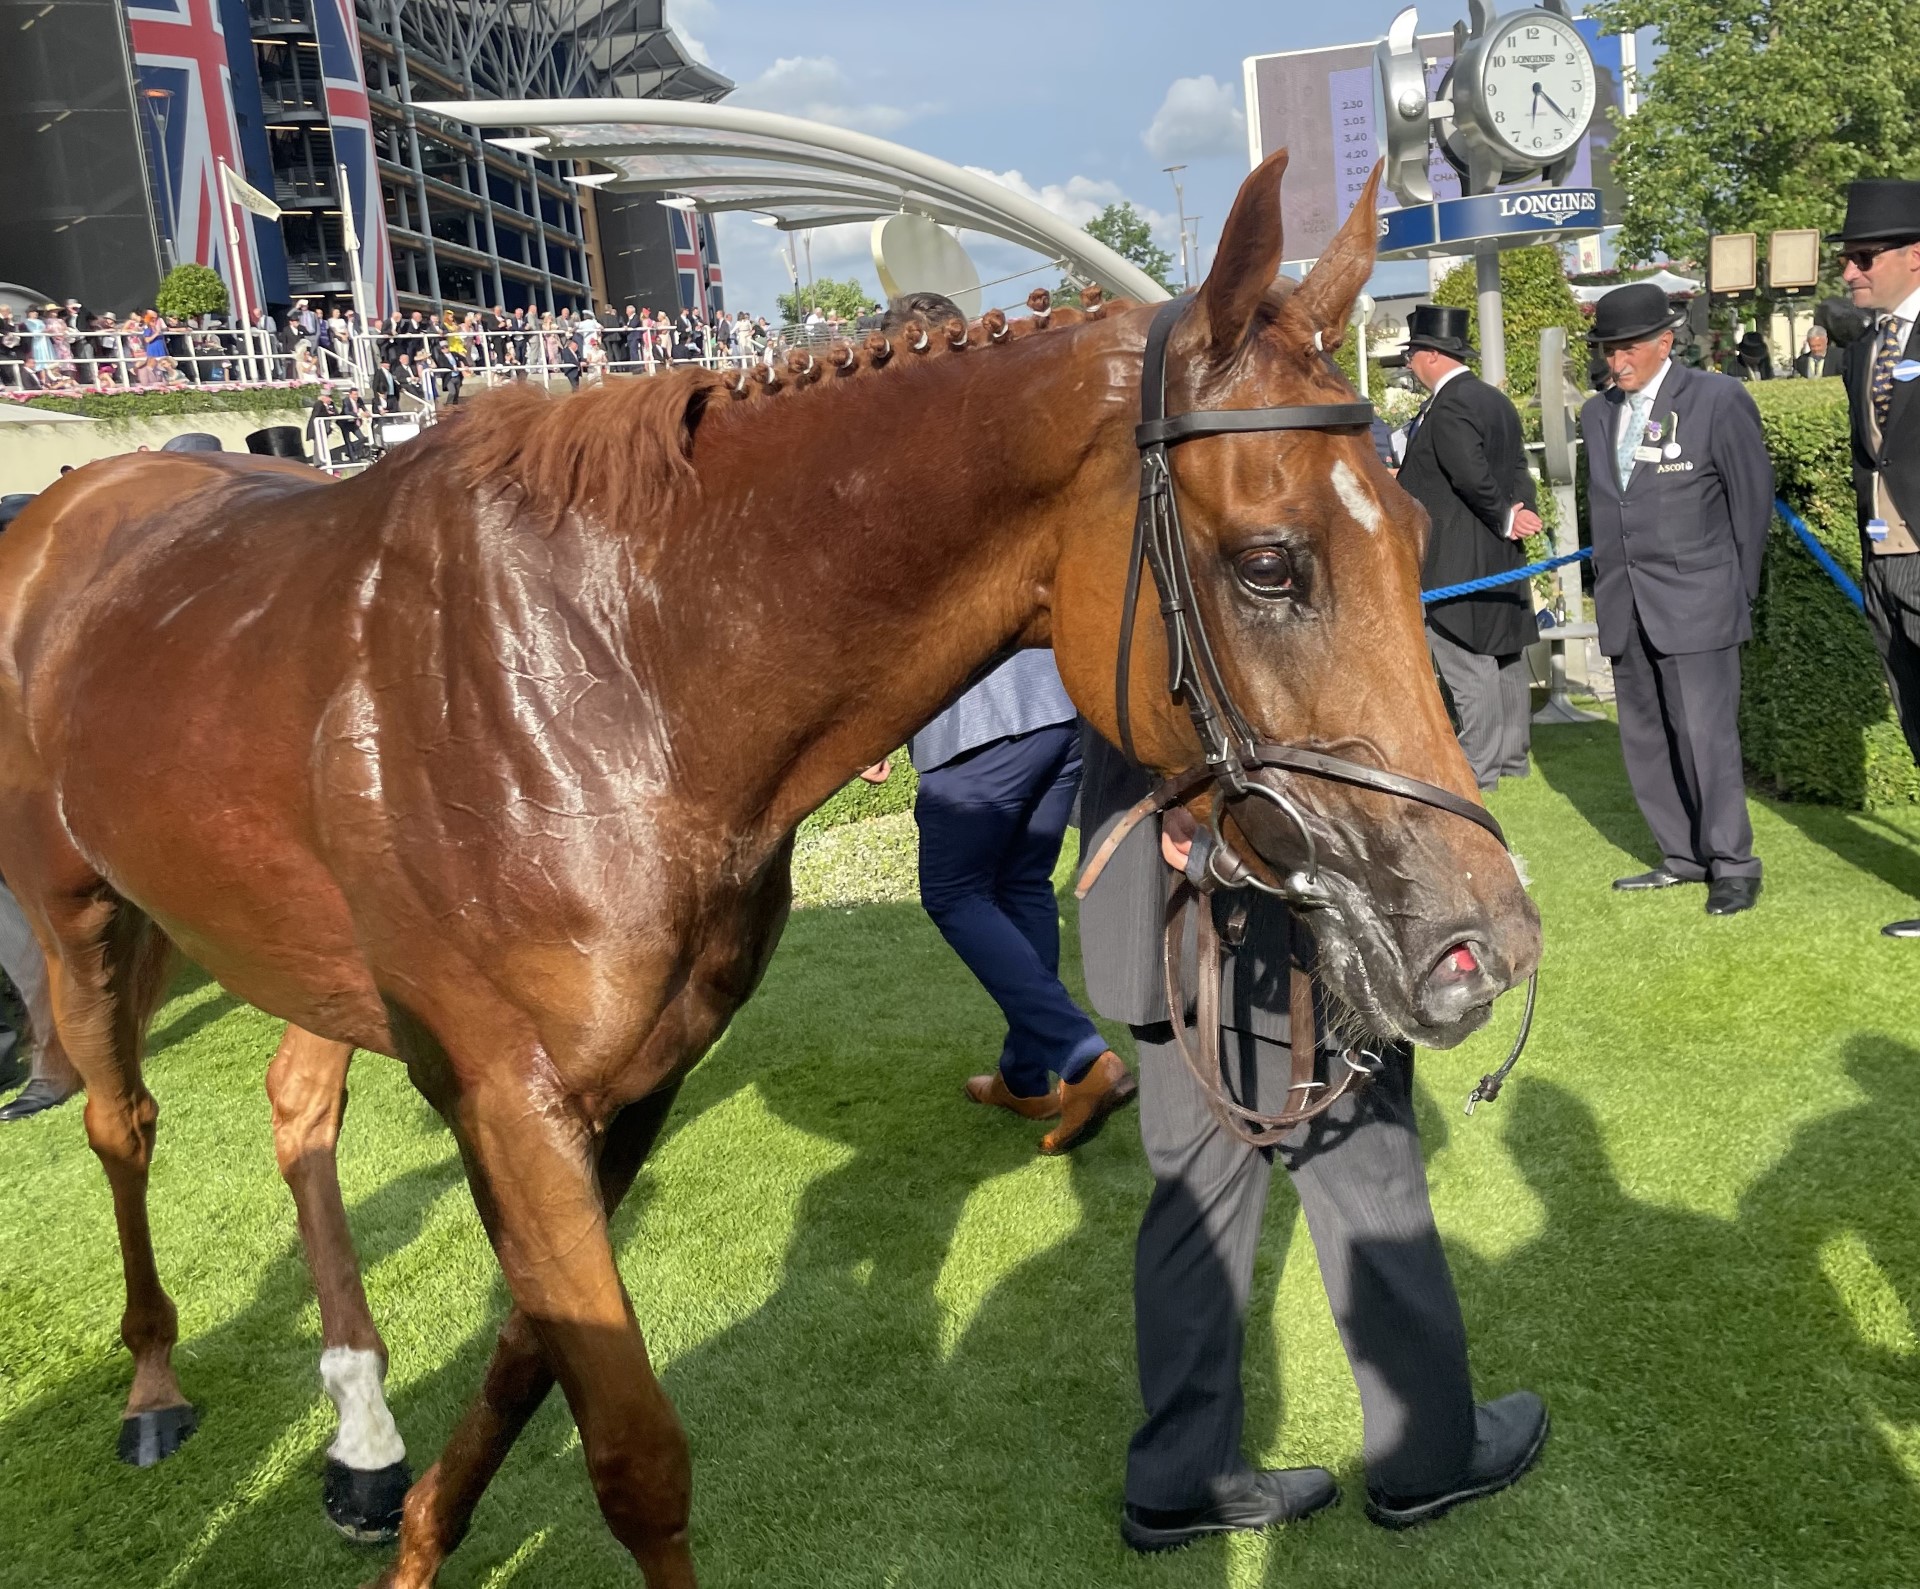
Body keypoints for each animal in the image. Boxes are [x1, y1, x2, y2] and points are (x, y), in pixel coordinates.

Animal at [0, 151, 1536, 1589]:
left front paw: (425, 1526)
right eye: (1271, 565)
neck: (617, 670)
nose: (1486, 940)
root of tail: (75, 498)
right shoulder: (511, 1095)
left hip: (302, 954)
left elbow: (526, 1355)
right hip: (74, 908)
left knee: (297, 1106)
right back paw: (151, 1383)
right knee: (123, 1121)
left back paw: (362, 1430)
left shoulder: (625, 1086)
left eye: (1416, 535)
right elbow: (634, 1453)